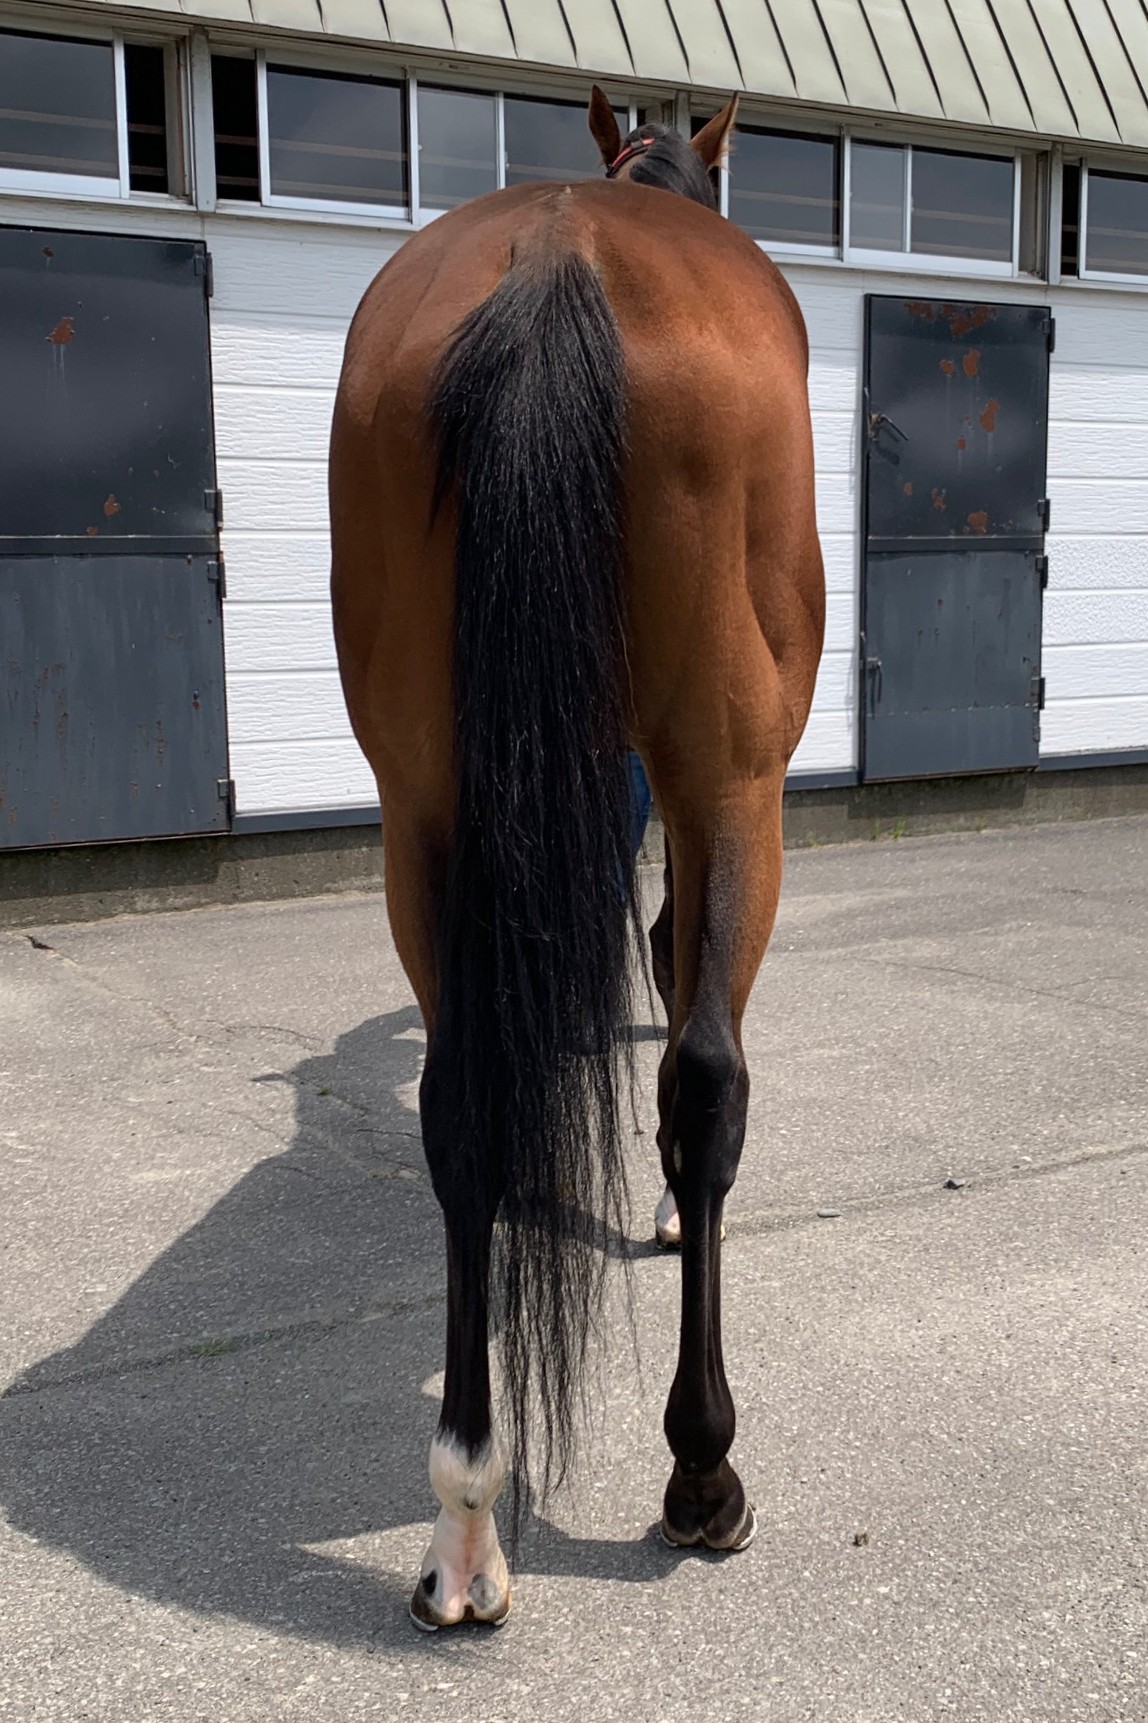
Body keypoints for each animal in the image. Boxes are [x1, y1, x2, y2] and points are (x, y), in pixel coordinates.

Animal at [329, 88, 824, 1630]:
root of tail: (557, 258)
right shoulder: (687, 784)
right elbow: (672, 978)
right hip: (732, 777)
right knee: (706, 1073)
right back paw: (701, 1473)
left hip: (423, 800)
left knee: (465, 1098)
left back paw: (466, 1516)